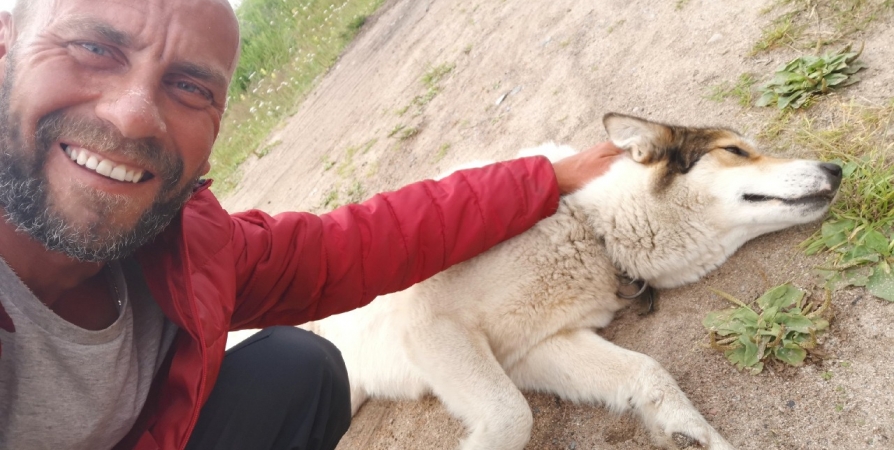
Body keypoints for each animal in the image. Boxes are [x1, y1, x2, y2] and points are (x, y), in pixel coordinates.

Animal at [304, 115, 844, 450]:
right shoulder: (430, 327)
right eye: (735, 150)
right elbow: (513, 416)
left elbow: (647, 370)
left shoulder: (533, 349)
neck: (590, 228)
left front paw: (692, 436)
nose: (836, 167)